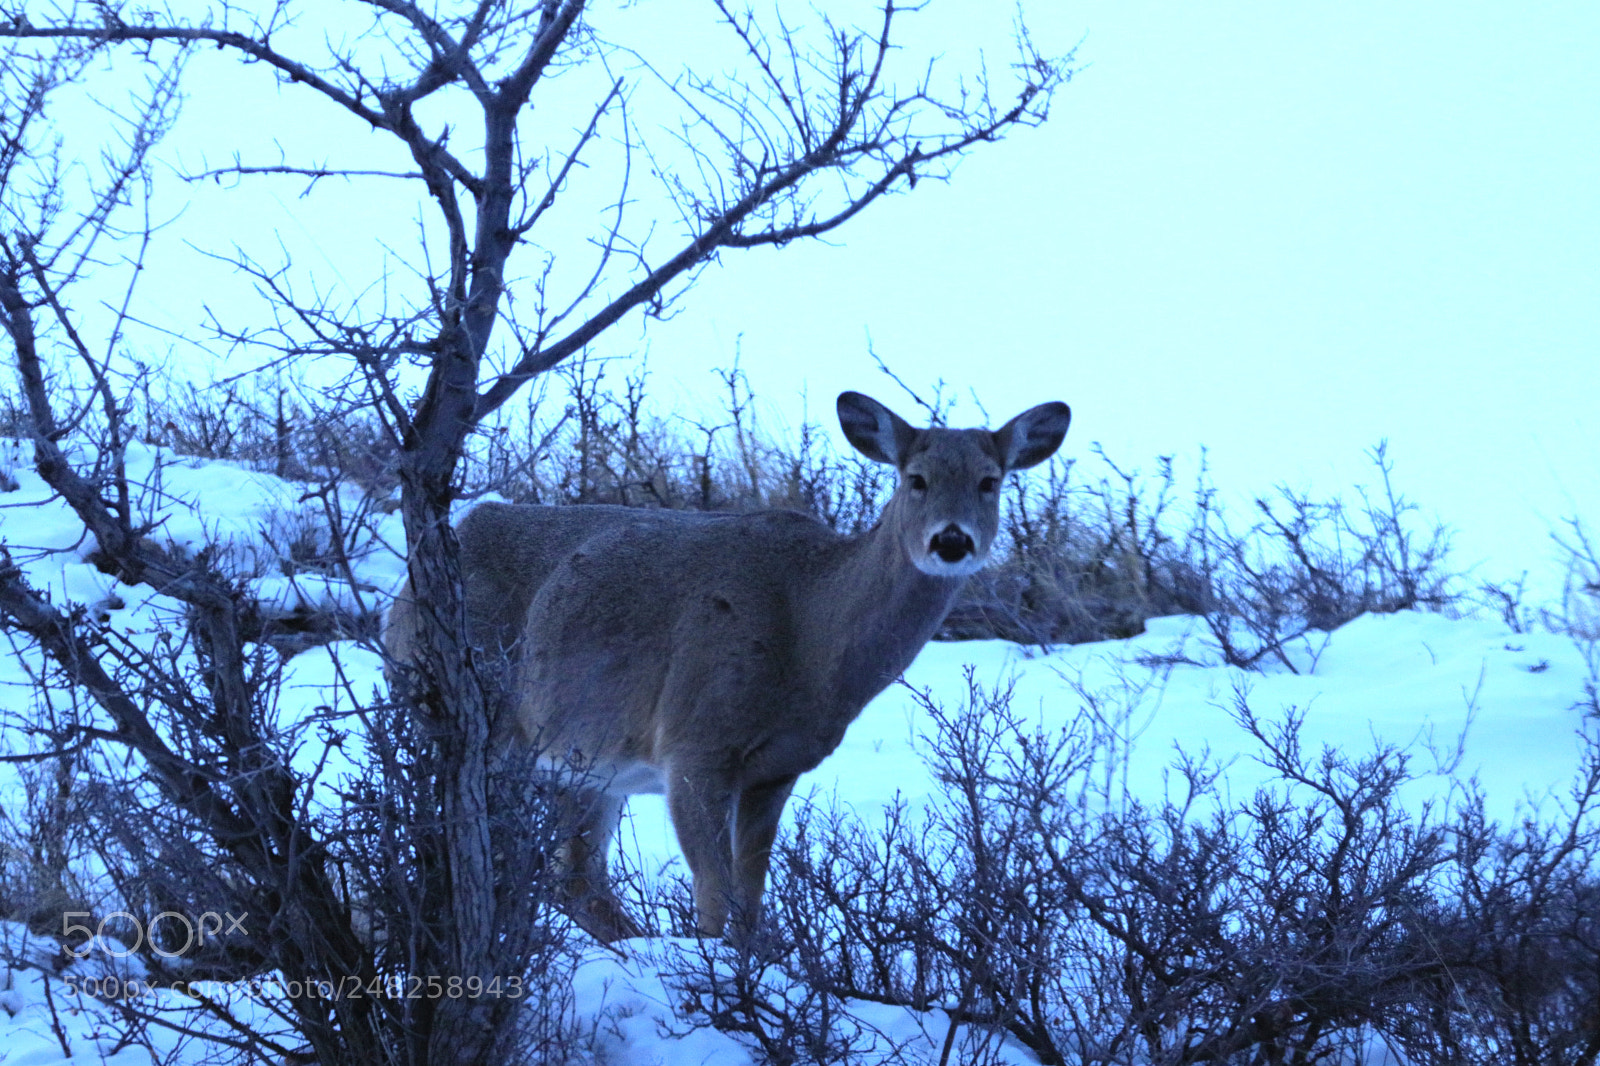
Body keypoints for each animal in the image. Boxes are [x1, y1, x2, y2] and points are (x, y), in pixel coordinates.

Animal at [384, 391, 1070, 942]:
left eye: (990, 481)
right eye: (916, 479)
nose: (951, 541)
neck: (809, 634)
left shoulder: (777, 768)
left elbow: (750, 900)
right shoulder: (695, 742)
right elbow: (716, 904)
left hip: (586, 766)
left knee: (575, 879)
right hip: (470, 721)